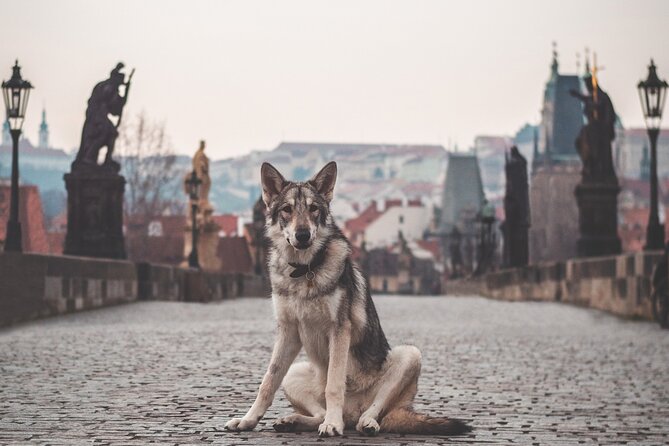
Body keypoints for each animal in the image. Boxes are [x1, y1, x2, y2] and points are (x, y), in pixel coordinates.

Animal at [224, 162, 470, 438]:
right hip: (294, 373)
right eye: (287, 209)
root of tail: (351, 414)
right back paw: (295, 420)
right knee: (318, 413)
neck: (305, 270)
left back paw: (363, 423)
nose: (302, 234)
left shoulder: (339, 329)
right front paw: (248, 420)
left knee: (375, 411)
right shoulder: (287, 332)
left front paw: (332, 424)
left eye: (313, 208)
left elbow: (334, 384)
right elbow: (267, 382)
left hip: (410, 355)